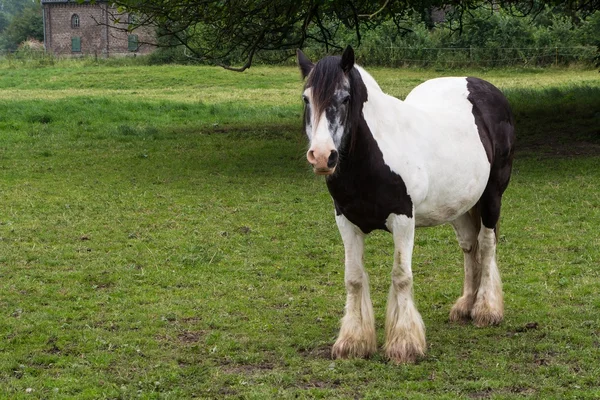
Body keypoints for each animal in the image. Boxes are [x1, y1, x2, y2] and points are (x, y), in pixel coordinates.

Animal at [298, 45, 512, 364]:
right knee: (468, 246)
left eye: (345, 97)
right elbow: (353, 278)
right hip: (460, 206)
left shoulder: (402, 220)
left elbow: (401, 276)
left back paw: (486, 309)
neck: (372, 156)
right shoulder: (346, 221)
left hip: (491, 196)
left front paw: (405, 345)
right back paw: (465, 306)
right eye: (306, 98)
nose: (323, 156)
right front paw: (353, 342)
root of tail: (484, 87)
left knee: (486, 245)